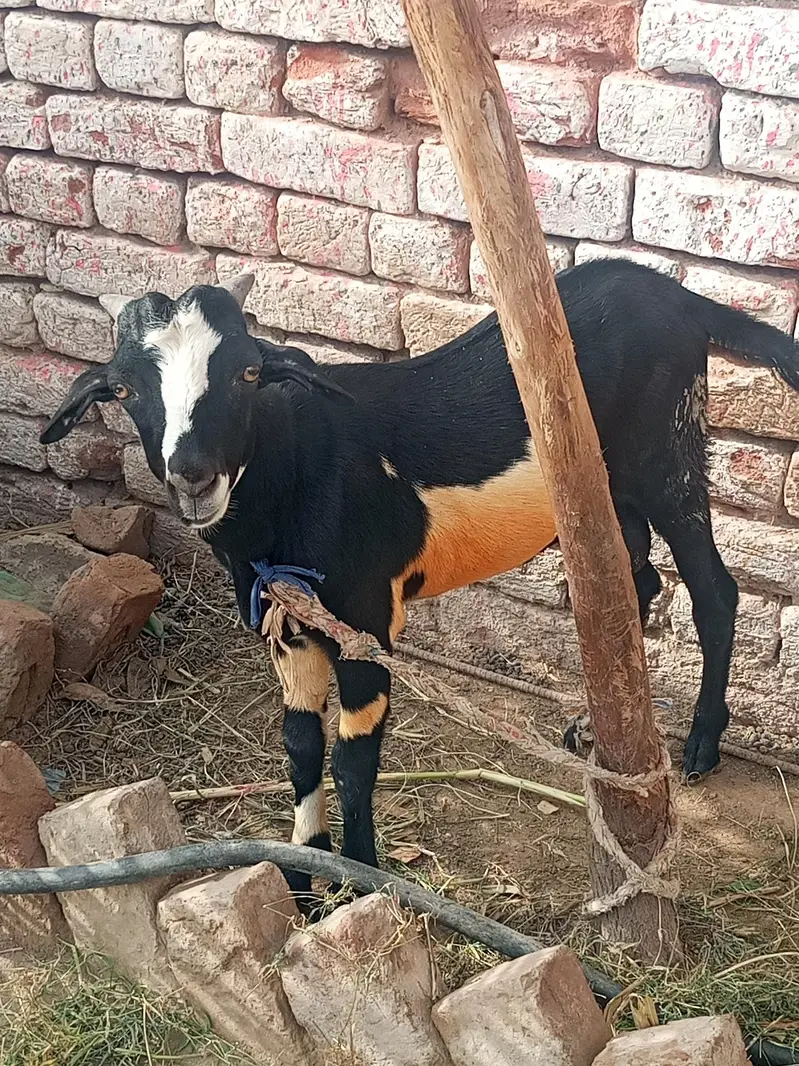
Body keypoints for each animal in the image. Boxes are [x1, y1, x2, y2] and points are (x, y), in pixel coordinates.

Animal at [41, 260, 799, 898]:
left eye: (248, 374)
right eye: (123, 388)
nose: (192, 477)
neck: (293, 470)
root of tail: (677, 296)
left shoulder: (366, 619)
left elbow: (352, 761)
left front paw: (362, 882)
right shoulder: (287, 622)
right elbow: (299, 745)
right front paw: (304, 877)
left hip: (664, 449)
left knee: (712, 589)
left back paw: (701, 745)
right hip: (602, 491)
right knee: (632, 585)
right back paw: (594, 727)